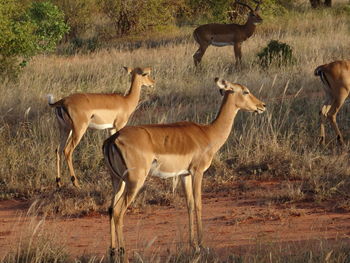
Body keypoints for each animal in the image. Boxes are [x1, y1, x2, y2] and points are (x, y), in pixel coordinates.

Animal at [102, 77, 266, 262]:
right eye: (245, 91)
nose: (262, 106)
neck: (208, 133)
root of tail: (113, 139)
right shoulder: (197, 172)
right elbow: (199, 203)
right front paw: (203, 245)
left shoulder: (184, 175)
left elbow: (189, 204)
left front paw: (193, 245)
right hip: (134, 181)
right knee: (118, 211)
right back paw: (123, 250)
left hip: (118, 181)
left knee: (110, 208)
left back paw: (113, 250)